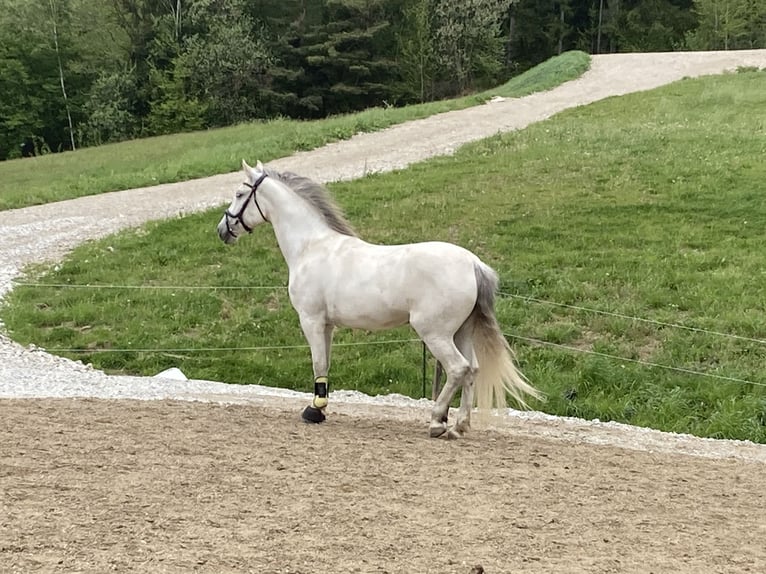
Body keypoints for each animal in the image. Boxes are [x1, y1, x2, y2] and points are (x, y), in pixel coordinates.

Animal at [216, 160, 544, 438]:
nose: (222, 230)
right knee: (472, 370)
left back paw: (437, 421)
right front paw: (320, 409)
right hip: (461, 331)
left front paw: (313, 411)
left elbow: (318, 363)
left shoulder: (311, 320)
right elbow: (326, 364)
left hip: (435, 334)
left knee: (458, 369)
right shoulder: (328, 325)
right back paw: (460, 425)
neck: (312, 247)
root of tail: (473, 263)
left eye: (239, 193)